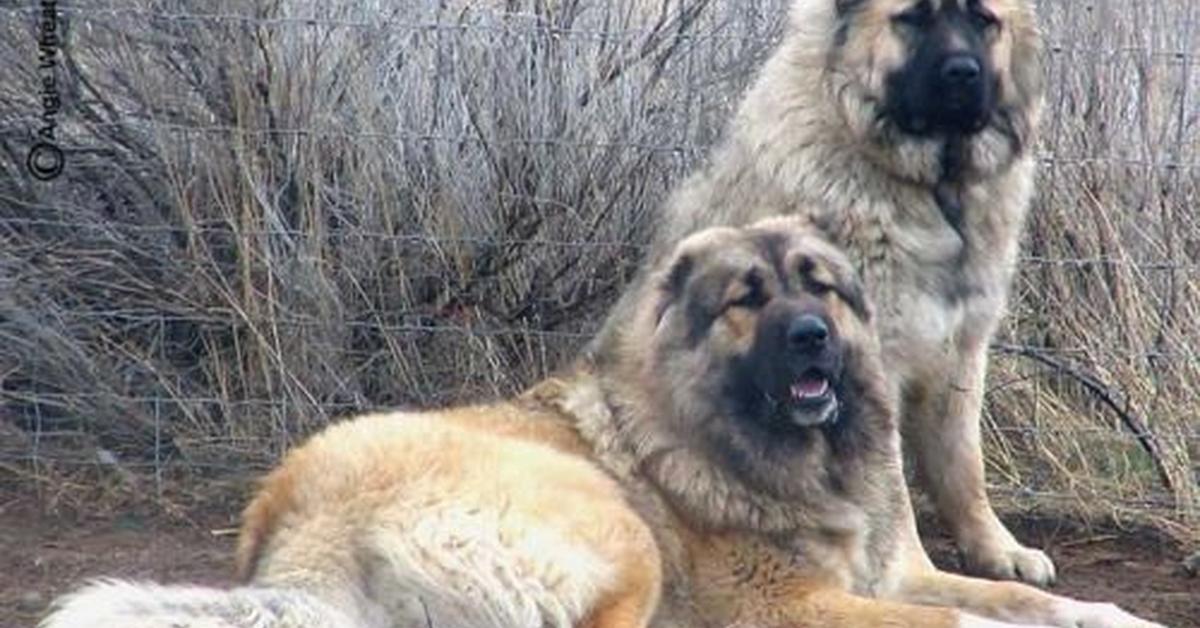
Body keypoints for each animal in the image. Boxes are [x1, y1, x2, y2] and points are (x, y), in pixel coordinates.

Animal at [42, 217, 1156, 628]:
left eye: (822, 287)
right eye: (747, 299)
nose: (810, 340)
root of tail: (300, 530)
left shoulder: (886, 574)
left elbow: (1028, 600)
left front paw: (1110, 615)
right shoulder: (797, 606)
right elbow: (967, 622)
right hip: (615, 526)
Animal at [595, 0, 1056, 588]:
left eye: (983, 20)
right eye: (912, 18)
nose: (962, 74)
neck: (931, 188)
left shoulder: (961, 351)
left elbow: (962, 466)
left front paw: (998, 549)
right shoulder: (874, 362)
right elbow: (891, 486)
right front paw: (909, 565)